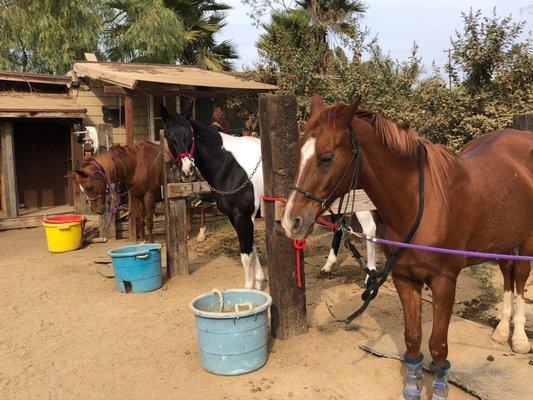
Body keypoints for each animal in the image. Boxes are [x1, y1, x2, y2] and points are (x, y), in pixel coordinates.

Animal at [160, 105, 376, 288]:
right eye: (169, 135)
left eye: (189, 134)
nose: (187, 169)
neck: (230, 164)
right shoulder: (237, 217)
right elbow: (253, 249)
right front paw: (259, 282)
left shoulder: (242, 216)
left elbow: (246, 254)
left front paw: (249, 289)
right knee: (340, 227)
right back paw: (327, 267)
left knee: (369, 230)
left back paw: (370, 277)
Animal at [280, 94, 528, 400]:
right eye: (297, 154)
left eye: (327, 157)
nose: (291, 222)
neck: (422, 202)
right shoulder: (404, 278)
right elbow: (413, 339)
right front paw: (411, 388)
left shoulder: (444, 282)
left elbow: (437, 346)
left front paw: (439, 391)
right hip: (504, 239)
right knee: (507, 275)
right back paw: (502, 330)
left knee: (519, 278)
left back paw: (519, 338)